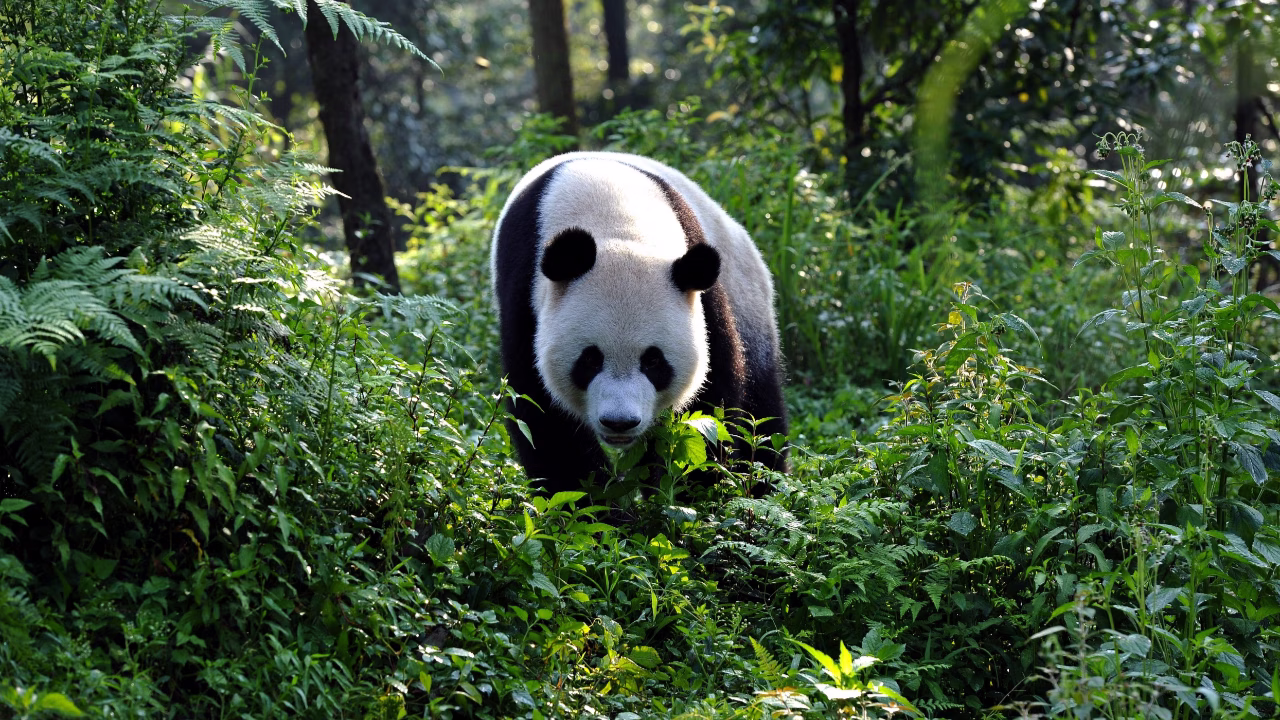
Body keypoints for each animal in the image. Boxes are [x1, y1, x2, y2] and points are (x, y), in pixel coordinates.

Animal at [491, 151, 787, 493]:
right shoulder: (525, 296)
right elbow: (543, 416)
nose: (619, 423)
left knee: (762, 412)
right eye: (590, 359)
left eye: (654, 361)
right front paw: (596, 499)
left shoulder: (703, 296)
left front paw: (687, 491)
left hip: (747, 299)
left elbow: (710, 403)